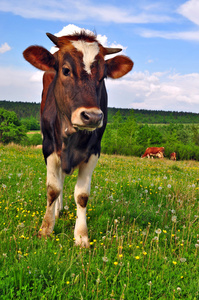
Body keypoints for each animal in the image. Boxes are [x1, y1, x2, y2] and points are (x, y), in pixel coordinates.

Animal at [22, 30, 133, 247]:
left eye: (103, 76)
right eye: (65, 70)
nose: (93, 116)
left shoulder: (94, 152)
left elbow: (82, 195)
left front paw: (81, 237)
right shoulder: (49, 148)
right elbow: (53, 189)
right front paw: (46, 229)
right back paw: (57, 210)